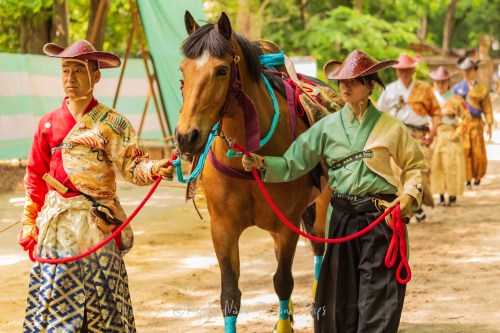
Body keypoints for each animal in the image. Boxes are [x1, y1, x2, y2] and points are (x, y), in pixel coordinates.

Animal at [174, 11, 334, 332]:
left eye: (222, 70)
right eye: (183, 70)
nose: (187, 137)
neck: (245, 159)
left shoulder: (288, 223)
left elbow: (283, 281)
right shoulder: (223, 228)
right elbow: (229, 295)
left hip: (322, 202)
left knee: (318, 247)